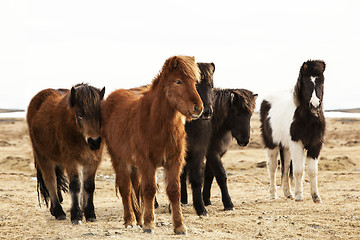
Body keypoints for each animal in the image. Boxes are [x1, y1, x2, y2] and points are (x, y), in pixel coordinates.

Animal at [26, 83, 105, 224]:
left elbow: (89, 185)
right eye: (79, 114)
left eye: (100, 114)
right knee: (50, 180)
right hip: (43, 156)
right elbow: (75, 185)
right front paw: (76, 215)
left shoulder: (92, 161)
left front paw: (89, 213)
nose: (95, 142)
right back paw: (59, 212)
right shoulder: (71, 160)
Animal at [102, 55, 204, 233]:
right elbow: (149, 190)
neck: (156, 123)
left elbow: (174, 191)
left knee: (135, 187)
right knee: (125, 188)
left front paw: (179, 226)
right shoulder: (147, 163)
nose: (198, 108)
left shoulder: (173, 162)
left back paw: (139, 219)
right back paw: (130, 220)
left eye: (194, 82)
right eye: (178, 81)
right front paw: (149, 224)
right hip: (119, 159)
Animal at [258, 60, 326, 202]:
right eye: (305, 83)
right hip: (271, 145)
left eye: (321, 82)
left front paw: (316, 197)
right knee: (272, 167)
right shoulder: (297, 144)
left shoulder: (315, 145)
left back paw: (288, 193)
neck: (309, 120)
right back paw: (273, 194)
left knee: (285, 168)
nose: (315, 106)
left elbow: (312, 171)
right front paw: (299, 196)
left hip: (286, 148)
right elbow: (299, 170)